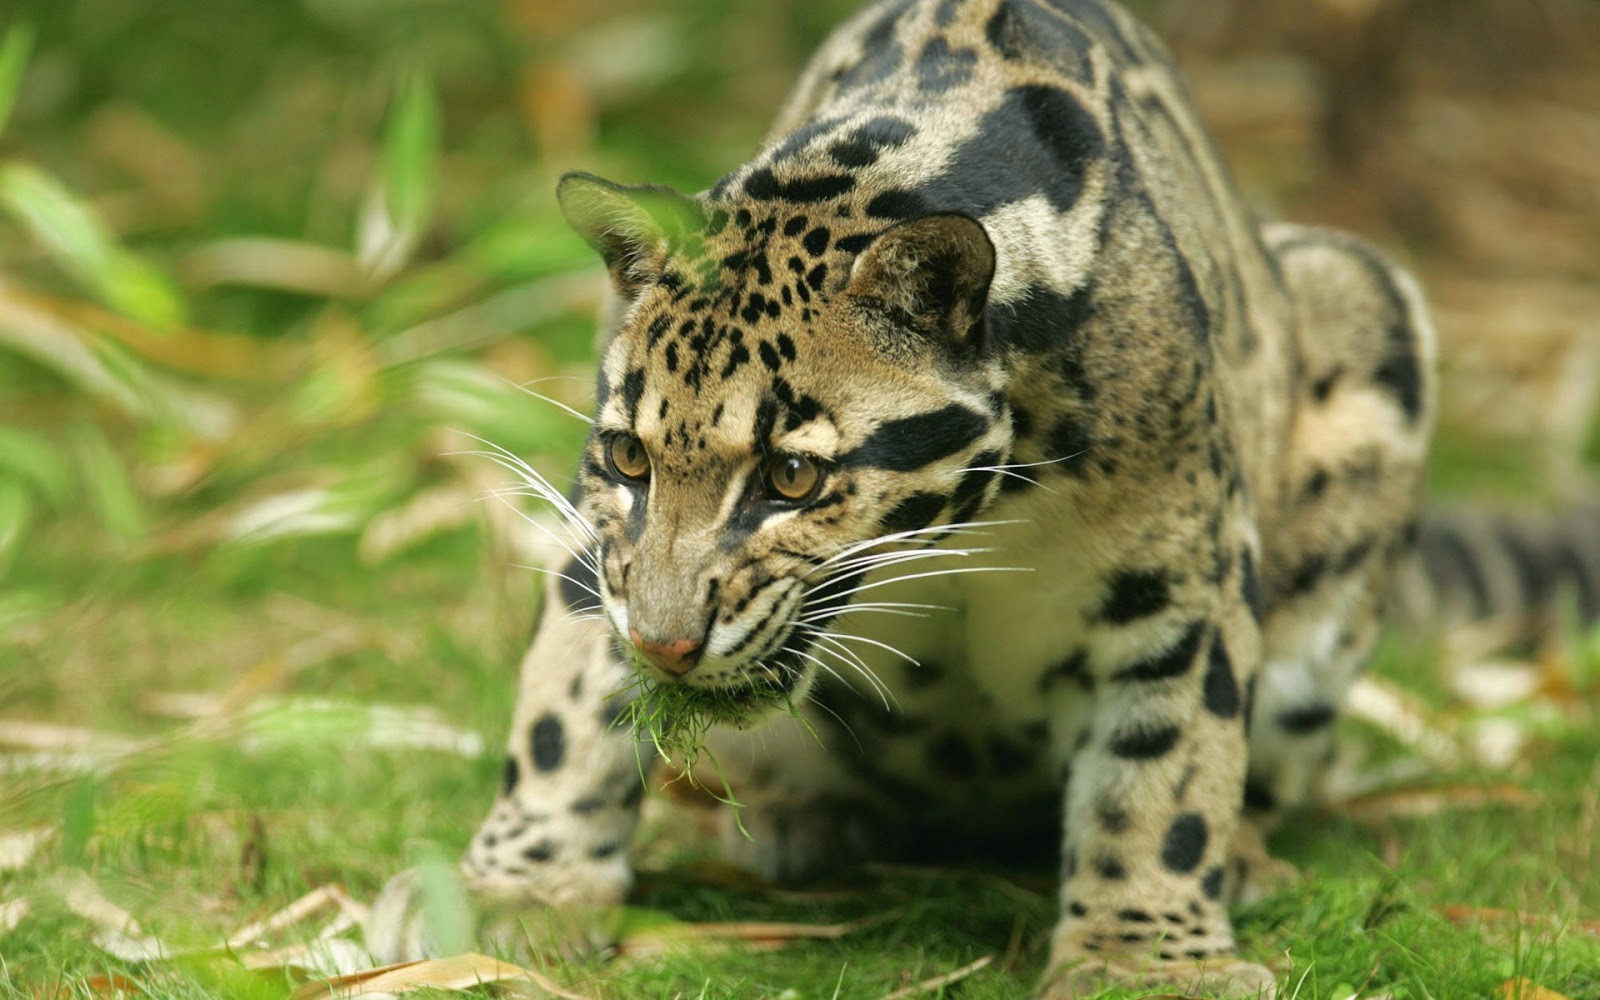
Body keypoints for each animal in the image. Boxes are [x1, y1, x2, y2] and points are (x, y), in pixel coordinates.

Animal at [367, 0, 1453, 995]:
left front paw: (1142, 957)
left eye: (792, 477)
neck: (977, 516)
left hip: (1360, 299)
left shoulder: (1180, 576)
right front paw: (513, 890)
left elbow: (1165, 767)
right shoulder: (606, 549)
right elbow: (563, 708)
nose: (666, 647)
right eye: (631, 457)